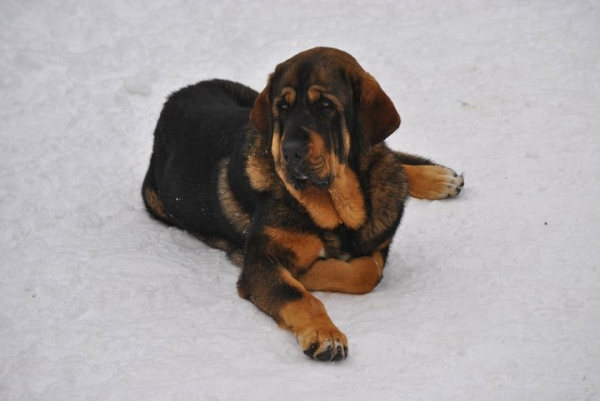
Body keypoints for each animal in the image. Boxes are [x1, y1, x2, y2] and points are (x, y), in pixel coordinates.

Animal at [142, 46, 464, 360]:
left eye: (326, 105)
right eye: (282, 107)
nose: (290, 151)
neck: (336, 209)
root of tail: (175, 97)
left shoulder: (378, 241)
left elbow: (368, 272)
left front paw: (311, 273)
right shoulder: (261, 261)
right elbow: (300, 294)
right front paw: (324, 333)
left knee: (391, 157)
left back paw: (438, 178)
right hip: (156, 200)